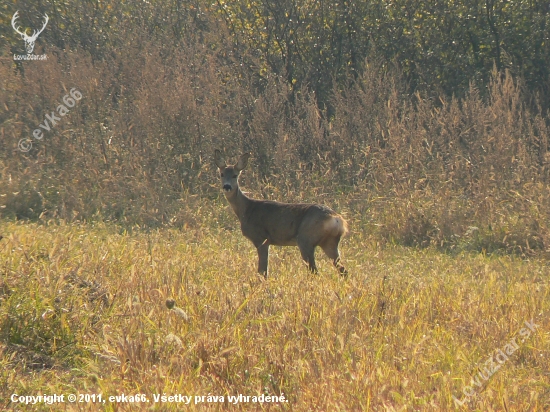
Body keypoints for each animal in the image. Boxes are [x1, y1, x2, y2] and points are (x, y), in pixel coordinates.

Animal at [216, 150, 350, 278]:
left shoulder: (261, 238)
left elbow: (263, 272)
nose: (227, 186)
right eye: (222, 174)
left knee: (315, 271)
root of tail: (337, 220)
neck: (247, 209)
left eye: (235, 175)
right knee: (343, 270)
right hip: (329, 243)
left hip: (305, 240)